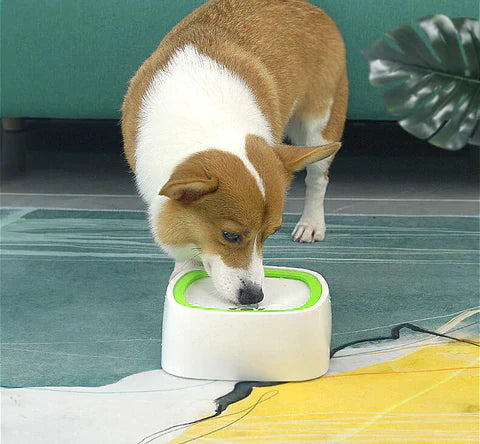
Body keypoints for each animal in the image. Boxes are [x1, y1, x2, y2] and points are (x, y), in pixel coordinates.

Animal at [122, 0, 346, 306]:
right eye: (230, 235)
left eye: (271, 233)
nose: (254, 296)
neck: (211, 123)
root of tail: (309, 6)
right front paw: (183, 271)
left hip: (320, 125)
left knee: (317, 178)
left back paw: (311, 223)